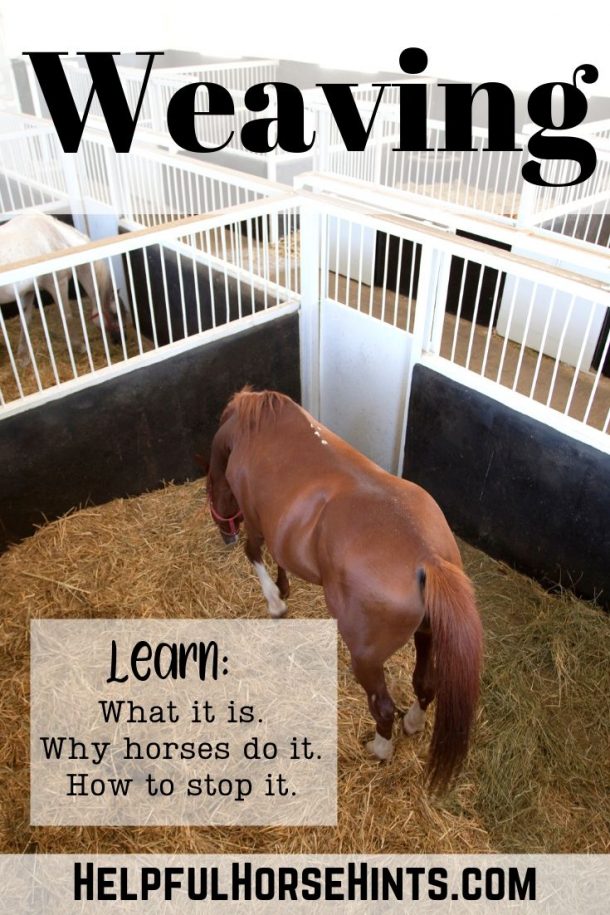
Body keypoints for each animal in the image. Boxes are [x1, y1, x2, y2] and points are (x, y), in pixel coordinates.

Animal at [0, 211, 122, 360]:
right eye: (116, 315)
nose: (121, 340)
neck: (57, 236)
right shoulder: (58, 283)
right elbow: (67, 317)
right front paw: (81, 346)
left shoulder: (28, 292)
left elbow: (25, 321)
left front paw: (23, 355)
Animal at [204, 388, 483, 792]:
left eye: (212, 492)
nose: (224, 535)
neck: (254, 430)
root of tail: (428, 558)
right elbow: (280, 559)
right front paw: (284, 588)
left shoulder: (255, 521)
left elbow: (254, 554)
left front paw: (275, 602)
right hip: (427, 635)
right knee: (425, 684)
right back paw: (413, 723)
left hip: (365, 658)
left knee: (383, 707)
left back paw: (380, 748)